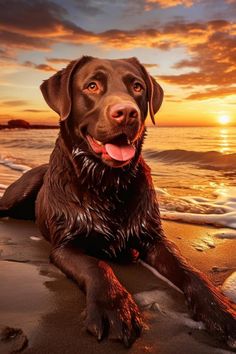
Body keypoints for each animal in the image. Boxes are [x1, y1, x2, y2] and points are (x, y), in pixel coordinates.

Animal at [0, 56, 236, 348]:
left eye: (137, 86)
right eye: (92, 85)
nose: (126, 112)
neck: (107, 182)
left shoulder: (153, 238)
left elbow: (191, 271)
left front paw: (221, 310)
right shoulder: (66, 245)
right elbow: (96, 266)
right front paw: (115, 307)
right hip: (21, 191)